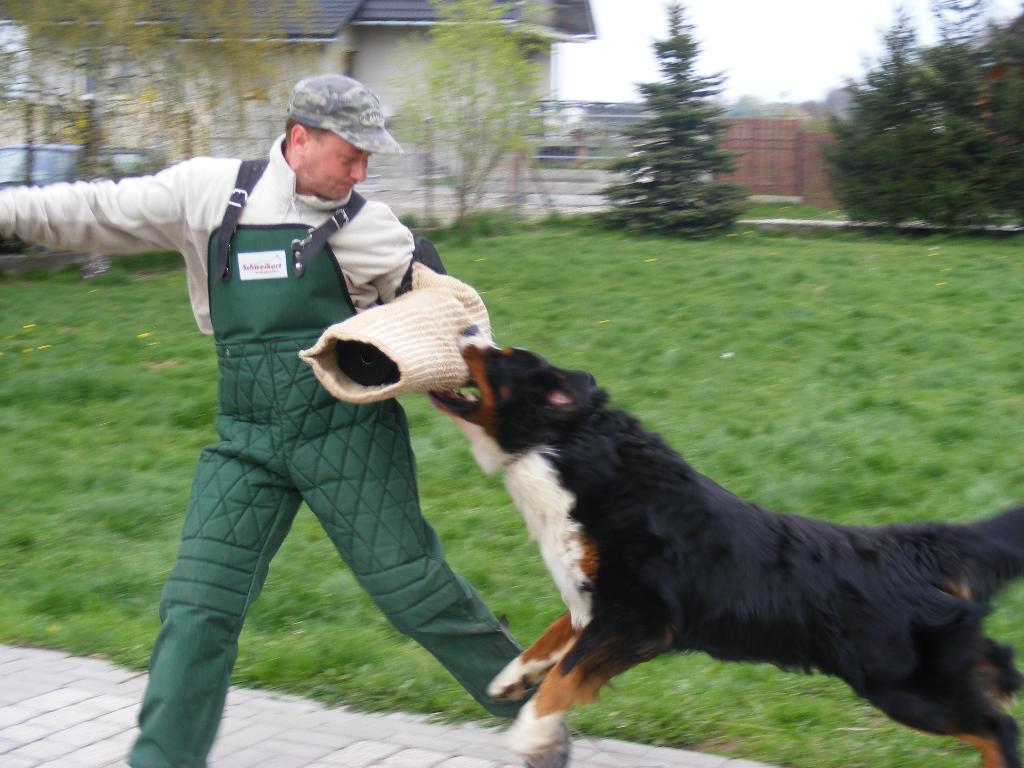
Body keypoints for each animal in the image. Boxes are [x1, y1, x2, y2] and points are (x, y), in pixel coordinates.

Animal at [430, 335, 1024, 768]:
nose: (465, 334)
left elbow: (566, 675)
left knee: (998, 727)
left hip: (903, 685)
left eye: (500, 357)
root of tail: (914, 543)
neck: (565, 448)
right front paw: (511, 677)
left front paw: (530, 732)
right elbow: (553, 642)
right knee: (997, 673)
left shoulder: (641, 618)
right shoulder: (596, 601)